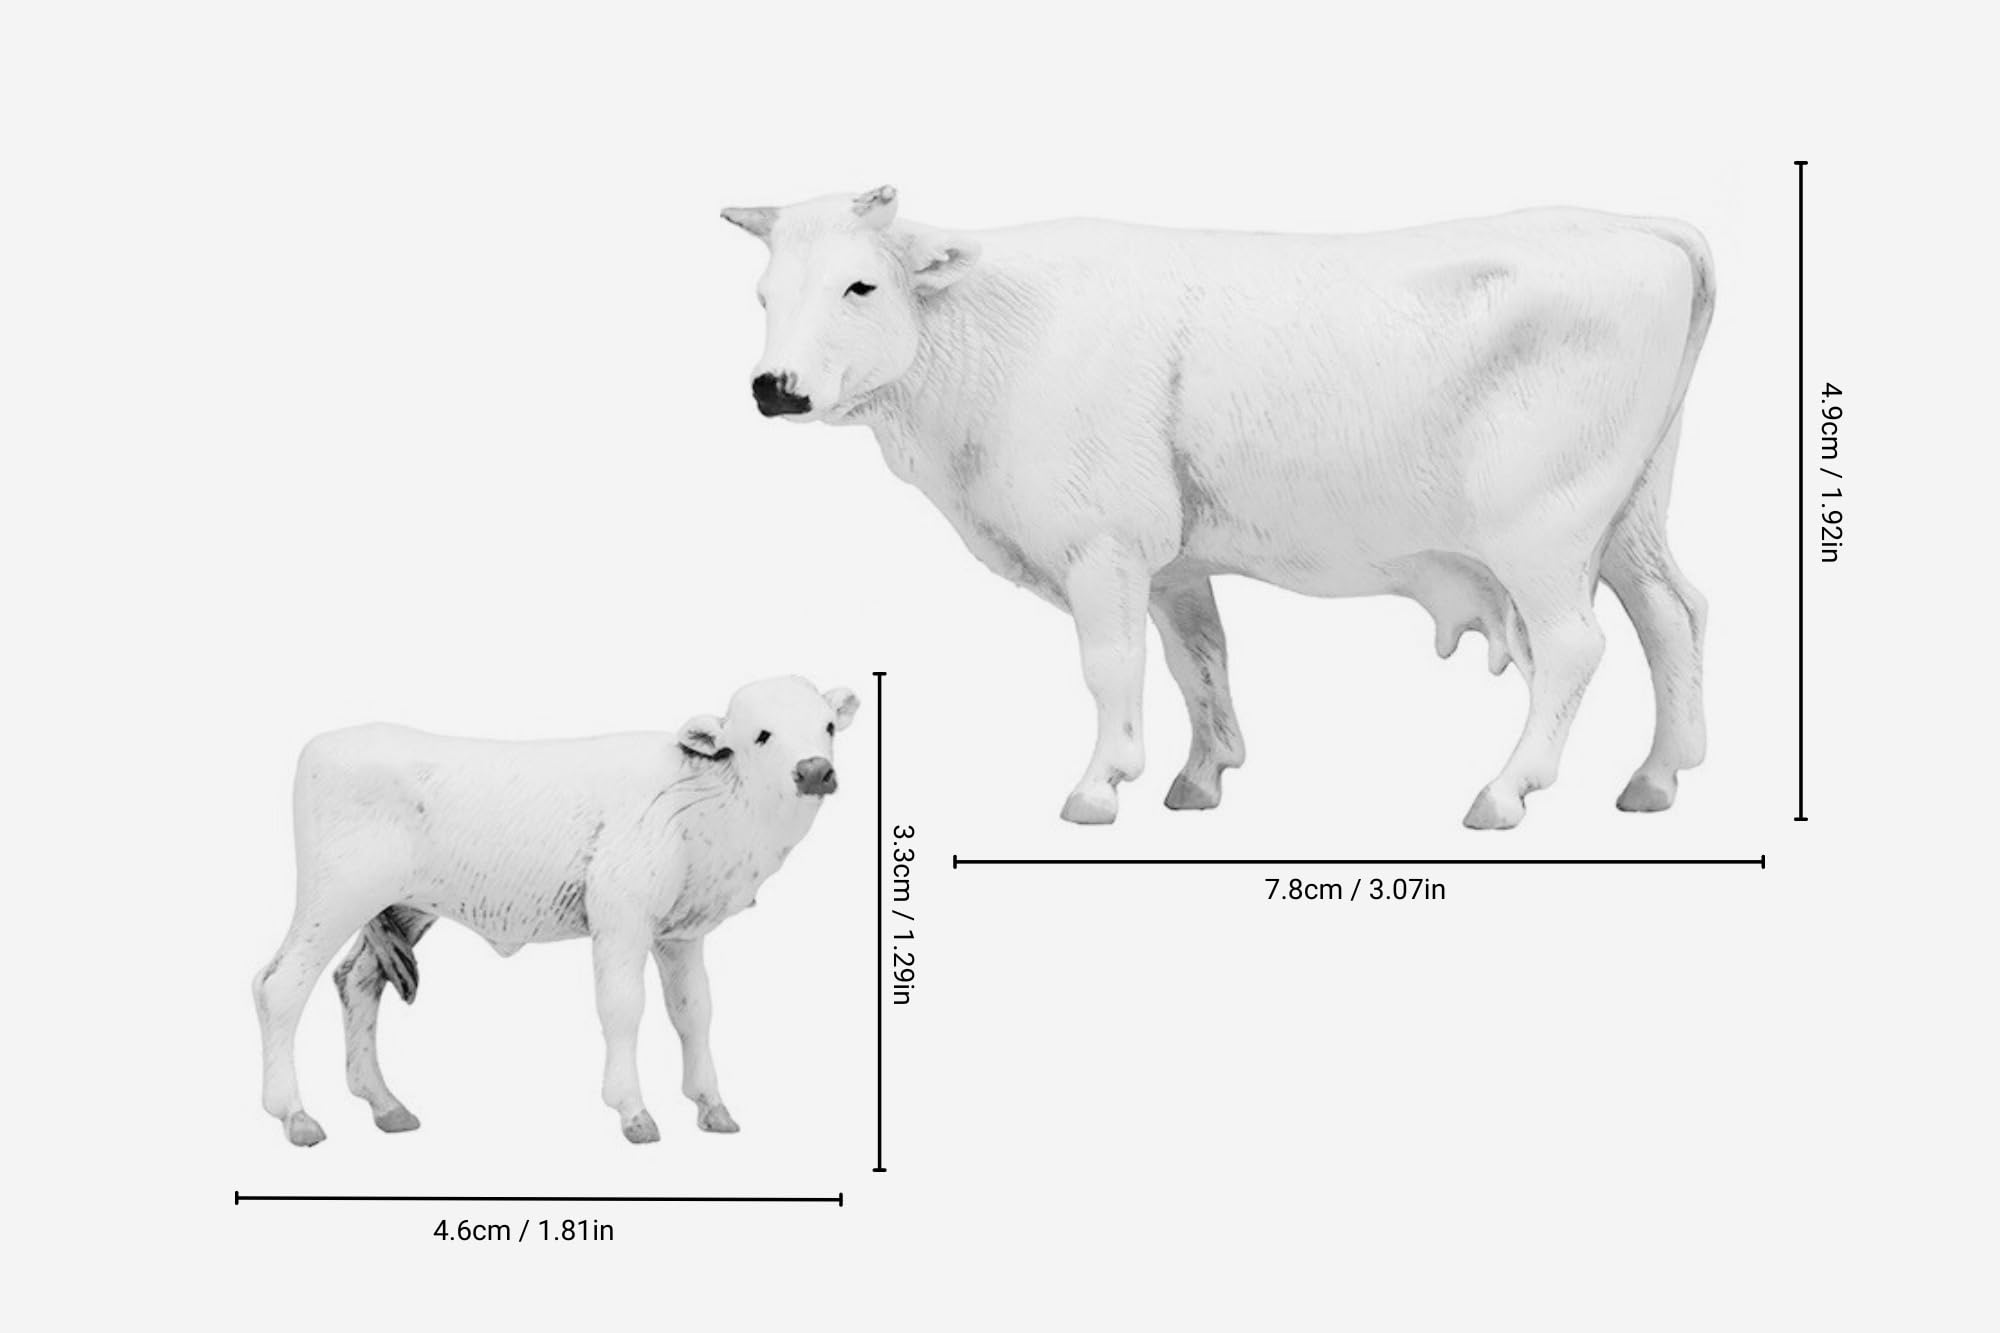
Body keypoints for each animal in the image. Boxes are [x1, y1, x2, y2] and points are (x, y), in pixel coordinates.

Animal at [251, 675, 858, 1146]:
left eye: (828, 726)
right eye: (761, 734)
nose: (813, 771)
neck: (709, 802)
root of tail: (329, 741)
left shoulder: (681, 935)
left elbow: (694, 1012)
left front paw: (712, 1107)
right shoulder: (621, 918)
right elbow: (623, 1008)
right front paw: (634, 1112)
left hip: (402, 906)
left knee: (357, 981)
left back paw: (386, 1106)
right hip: (334, 896)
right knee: (281, 985)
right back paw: (296, 1116)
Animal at [724, 187, 1713, 828]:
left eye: (860, 285)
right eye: (764, 294)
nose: (775, 387)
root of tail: (1633, 224)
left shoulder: (1105, 546)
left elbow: (1112, 665)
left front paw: (1100, 784)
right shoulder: (1172, 563)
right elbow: (1197, 661)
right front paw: (1201, 776)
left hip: (1546, 530)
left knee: (1576, 645)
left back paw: (1507, 790)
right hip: (1630, 515)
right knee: (1673, 614)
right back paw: (1659, 776)